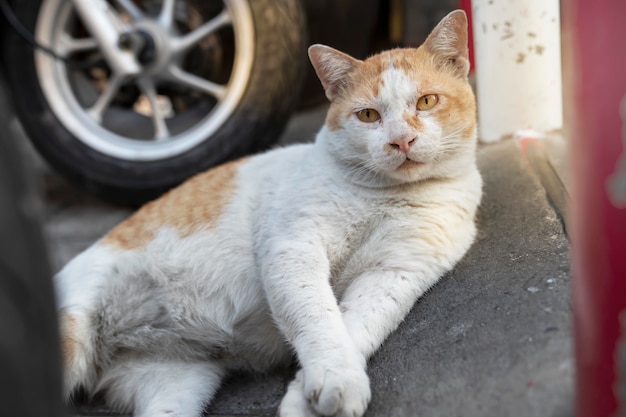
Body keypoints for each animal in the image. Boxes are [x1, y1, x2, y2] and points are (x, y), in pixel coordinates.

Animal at [54, 9, 482, 416]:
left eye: (426, 101)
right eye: (368, 116)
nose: (401, 140)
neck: (386, 196)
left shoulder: (394, 274)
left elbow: (354, 328)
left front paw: (313, 398)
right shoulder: (293, 249)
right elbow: (319, 318)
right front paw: (334, 379)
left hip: (174, 382)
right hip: (73, 332)